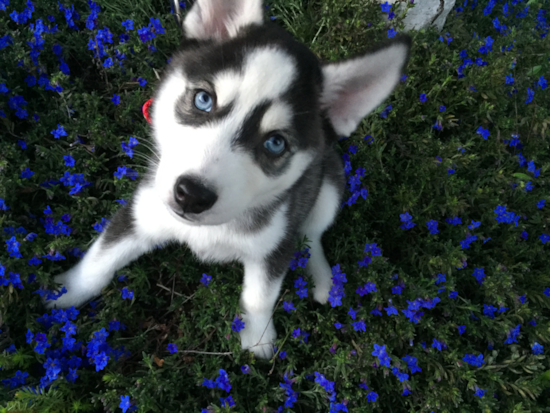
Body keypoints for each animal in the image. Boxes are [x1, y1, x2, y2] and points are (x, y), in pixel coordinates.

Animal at [46, 0, 410, 358]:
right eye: (203, 99)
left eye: (275, 143)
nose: (191, 194)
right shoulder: (142, 214)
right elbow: (100, 262)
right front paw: (63, 293)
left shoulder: (274, 244)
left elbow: (259, 295)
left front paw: (258, 338)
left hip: (330, 182)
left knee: (312, 234)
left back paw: (323, 279)